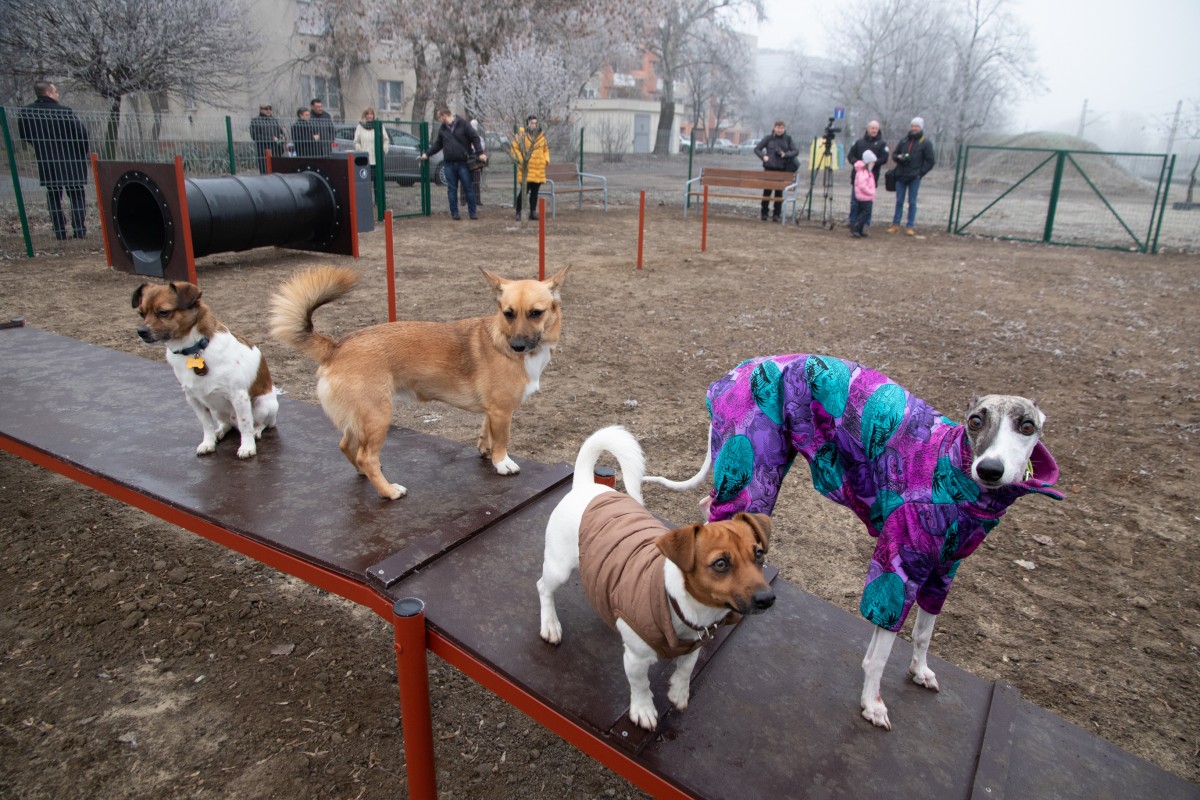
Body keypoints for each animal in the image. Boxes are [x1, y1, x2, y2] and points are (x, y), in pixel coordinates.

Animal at [133, 281, 278, 455]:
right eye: (141, 314)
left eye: (163, 312)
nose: (141, 331)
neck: (193, 350)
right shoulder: (193, 399)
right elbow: (206, 424)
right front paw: (208, 442)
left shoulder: (239, 396)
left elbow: (245, 425)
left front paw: (247, 447)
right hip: (217, 410)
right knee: (227, 424)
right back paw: (220, 431)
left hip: (262, 405)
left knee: (261, 423)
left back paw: (256, 430)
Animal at [270, 266, 568, 496]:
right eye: (508, 313)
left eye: (536, 313)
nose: (517, 346)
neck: (503, 338)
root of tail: (336, 346)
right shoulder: (502, 411)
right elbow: (503, 441)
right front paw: (502, 463)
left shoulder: (492, 411)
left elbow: (486, 432)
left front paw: (486, 449)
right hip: (379, 416)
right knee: (366, 456)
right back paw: (389, 491)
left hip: (361, 417)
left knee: (348, 447)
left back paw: (366, 475)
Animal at [537, 429, 777, 729]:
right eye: (720, 564)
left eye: (759, 554)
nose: (768, 599)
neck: (682, 603)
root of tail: (586, 486)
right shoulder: (636, 659)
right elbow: (640, 685)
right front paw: (643, 710)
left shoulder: (695, 645)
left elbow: (685, 670)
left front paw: (678, 691)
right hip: (559, 567)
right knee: (544, 588)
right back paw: (550, 625)